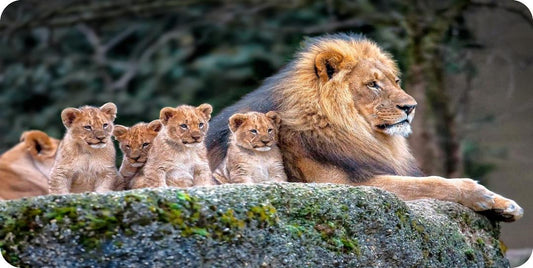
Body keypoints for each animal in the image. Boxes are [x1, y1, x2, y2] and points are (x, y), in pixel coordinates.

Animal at [206, 33, 520, 222]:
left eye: (396, 81)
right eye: (373, 84)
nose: (411, 107)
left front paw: (505, 205)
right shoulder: (343, 185)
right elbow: (429, 182)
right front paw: (479, 193)